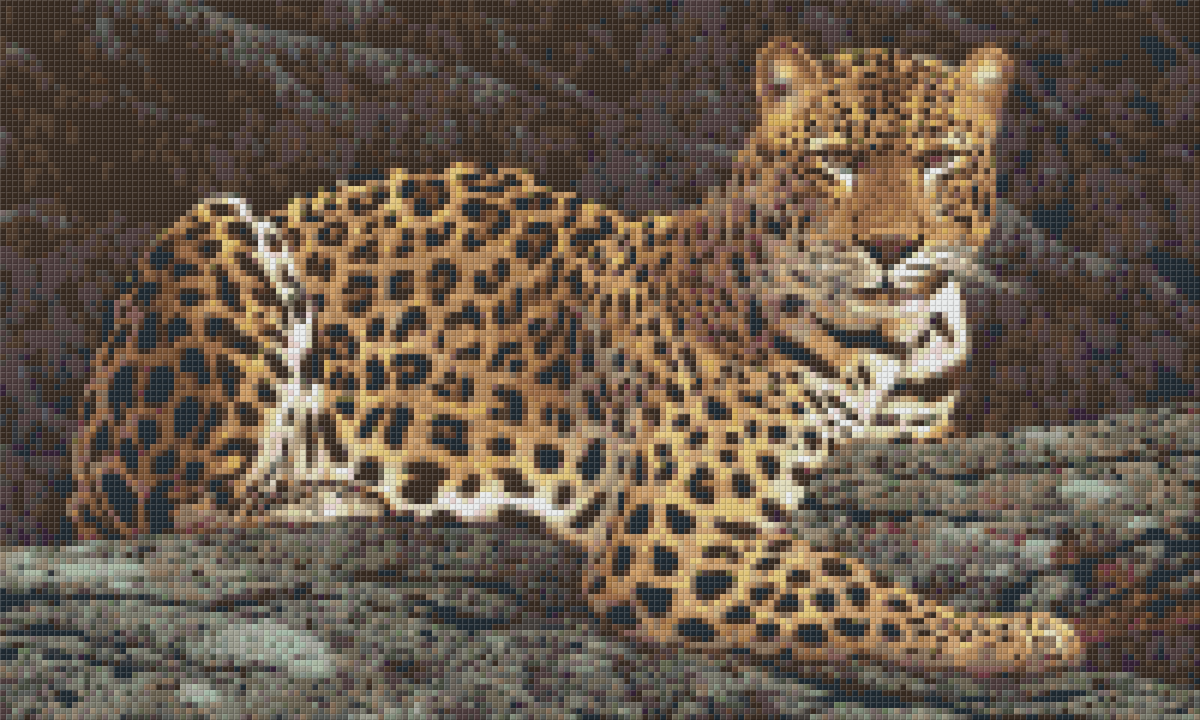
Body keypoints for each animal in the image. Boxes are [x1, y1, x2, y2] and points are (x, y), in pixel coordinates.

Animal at [69, 39, 1086, 674]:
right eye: (832, 159)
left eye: (941, 161)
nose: (890, 247)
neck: (898, 339)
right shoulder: (675, 536)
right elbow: (851, 589)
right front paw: (1027, 637)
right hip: (217, 234)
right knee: (169, 510)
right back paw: (345, 496)